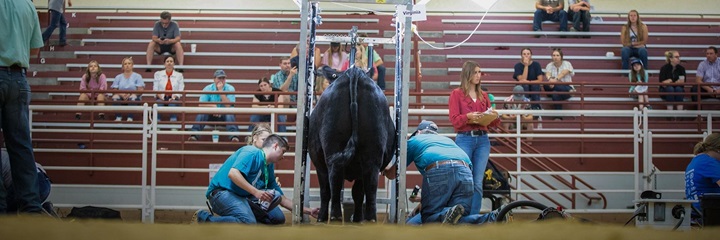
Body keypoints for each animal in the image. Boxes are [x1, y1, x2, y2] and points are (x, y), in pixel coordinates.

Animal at [308, 66, 394, 223]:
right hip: (372, 154)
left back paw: (334, 216)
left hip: (332, 149)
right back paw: (370, 219)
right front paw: (358, 218)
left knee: (334, 183)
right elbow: (358, 193)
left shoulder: (319, 165)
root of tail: (354, 72)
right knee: (371, 186)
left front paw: (321, 217)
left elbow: (325, 190)